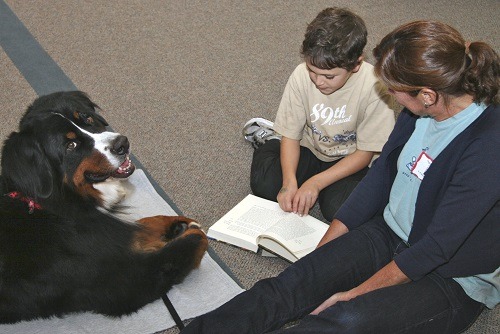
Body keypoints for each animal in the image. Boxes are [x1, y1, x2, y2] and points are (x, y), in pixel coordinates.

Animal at [0, 91, 207, 324]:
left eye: (88, 118)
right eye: (70, 145)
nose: (122, 143)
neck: (55, 207)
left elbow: (142, 225)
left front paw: (177, 224)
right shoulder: (120, 282)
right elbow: (191, 243)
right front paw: (188, 231)